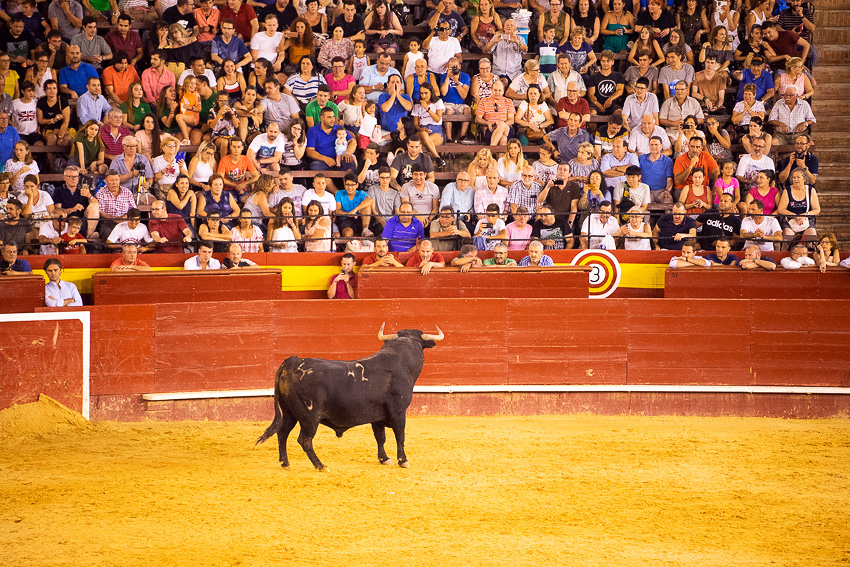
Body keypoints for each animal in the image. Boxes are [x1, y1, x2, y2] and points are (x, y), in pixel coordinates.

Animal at [255, 326, 444, 472]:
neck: (401, 360)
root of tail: (291, 362)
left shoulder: (377, 416)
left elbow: (380, 437)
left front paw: (384, 459)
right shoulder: (398, 411)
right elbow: (400, 435)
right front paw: (403, 460)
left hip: (289, 412)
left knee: (282, 432)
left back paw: (285, 463)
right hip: (309, 417)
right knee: (305, 440)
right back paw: (320, 465)